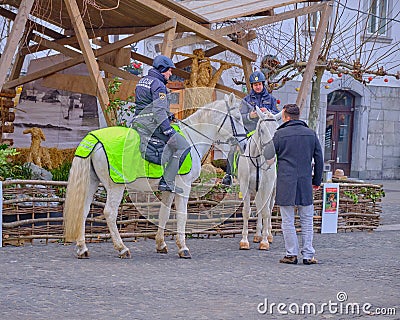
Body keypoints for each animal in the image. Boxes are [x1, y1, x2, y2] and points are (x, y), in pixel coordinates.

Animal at [63, 94, 247, 258]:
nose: (245, 143)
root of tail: (95, 139)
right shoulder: (185, 186)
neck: (192, 137)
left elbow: (164, 214)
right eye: (238, 118)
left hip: (92, 183)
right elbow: (182, 215)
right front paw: (183, 248)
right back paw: (122, 248)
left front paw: (161, 244)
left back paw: (82, 248)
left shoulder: (170, 189)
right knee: (109, 213)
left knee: (83, 211)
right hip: (116, 186)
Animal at [238, 109, 282, 251]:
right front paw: (244, 241)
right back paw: (257, 235)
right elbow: (247, 212)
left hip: (272, 191)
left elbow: (266, 212)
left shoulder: (267, 187)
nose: (271, 154)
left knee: (269, 208)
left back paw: (268, 235)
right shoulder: (245, 186)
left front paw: (265, 241)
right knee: (259, 207)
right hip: (257, 191)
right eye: (262, 130)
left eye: (277, 129)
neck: (257, 159)